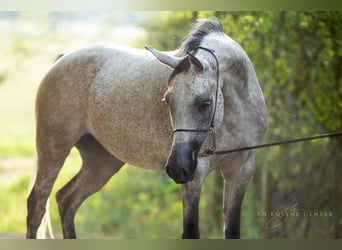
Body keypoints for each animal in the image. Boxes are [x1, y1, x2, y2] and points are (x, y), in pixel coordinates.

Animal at [26, 18, 268, 239]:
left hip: (101, 163)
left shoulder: (240, 171)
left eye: (204, 103)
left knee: (66, 200)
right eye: (167, 100)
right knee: (36, 206)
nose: (177, 167)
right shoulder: (195, 176)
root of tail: (62, 60)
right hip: (53, 150)